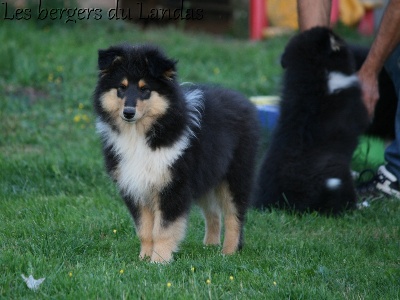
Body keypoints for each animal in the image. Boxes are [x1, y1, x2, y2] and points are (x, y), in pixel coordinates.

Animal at [93, 44, 260, 262]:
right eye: (121, 87)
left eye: (145, 89)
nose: (128, 112)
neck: (139, 135)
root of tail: (243, 100)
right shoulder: (135, 187)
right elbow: (144, 229)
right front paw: (142, 259)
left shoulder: (173, 186)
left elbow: (163, 229)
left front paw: (159, 261)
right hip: (206, 176)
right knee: (213, 212)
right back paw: (209, 246)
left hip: (236, 175)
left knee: (235, 215)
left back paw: (229, 253)